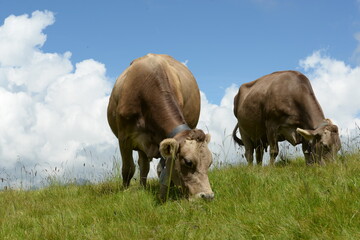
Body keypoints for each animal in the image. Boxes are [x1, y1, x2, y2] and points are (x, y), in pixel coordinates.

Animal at [107, 53, 214, 200]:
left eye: (210, 162)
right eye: (188, 162)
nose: (208, 196)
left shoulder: (164, 139)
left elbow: (163, 170)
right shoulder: (124, 138)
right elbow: (128, 169)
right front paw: (125, 192)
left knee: (145, 165)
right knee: (142, 165)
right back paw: (142, 187)